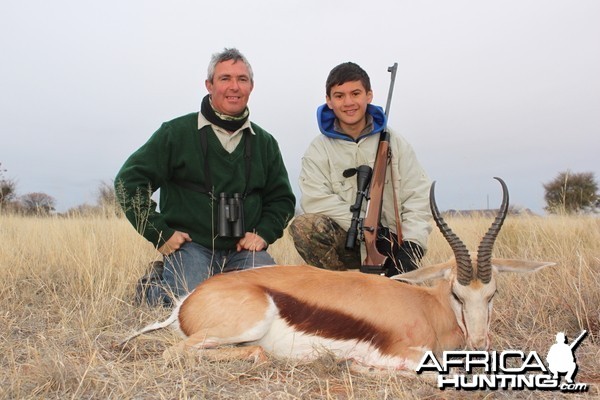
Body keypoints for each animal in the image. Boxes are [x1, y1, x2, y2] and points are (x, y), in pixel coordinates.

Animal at [122, 178, 552, 372]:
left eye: (493, 293)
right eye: (458, 294)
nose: (480, 343)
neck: (430, 309)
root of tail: (187, 301)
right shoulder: (404, 352)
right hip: (241, 327)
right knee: (179, 351)